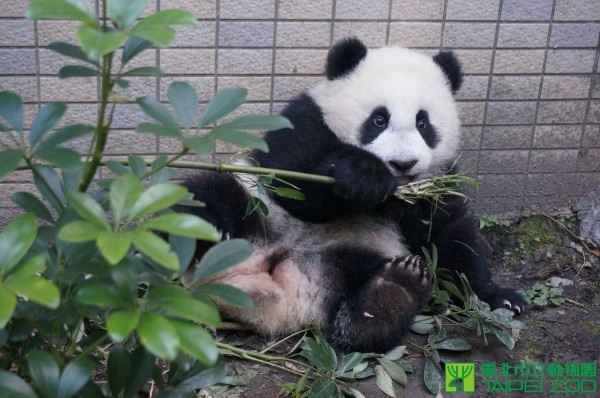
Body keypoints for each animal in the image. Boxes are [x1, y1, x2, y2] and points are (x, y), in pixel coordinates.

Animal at [179, 37, 524, 352]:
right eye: (379, 119)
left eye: (423, 123)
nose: (402, 164)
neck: (395, 196)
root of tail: (279, 294)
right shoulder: (302, 122)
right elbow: (294, 183)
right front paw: (364, 174)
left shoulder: (435, 183)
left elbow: (449, 236)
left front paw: (501, 299)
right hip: (257, 207)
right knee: (209, 195)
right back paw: (206, 231)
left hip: (356, 256)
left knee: (356, 313)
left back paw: (392, 295)